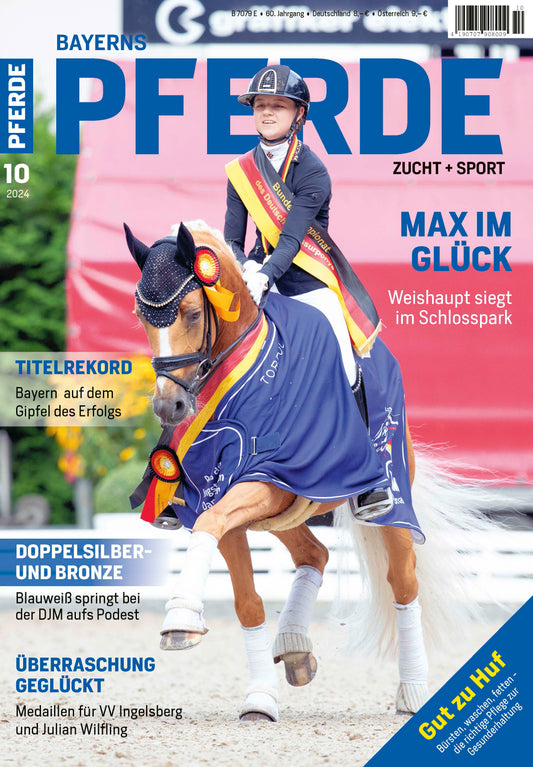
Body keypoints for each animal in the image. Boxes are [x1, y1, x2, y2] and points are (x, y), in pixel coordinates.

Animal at [126, 219, 489, 723]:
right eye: (142, 318)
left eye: (194, 314)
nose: (169, 407)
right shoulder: (217, 495)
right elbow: (246, 600)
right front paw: (259, 698)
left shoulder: (268, 478)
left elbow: (216, 532)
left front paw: (180, 616)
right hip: (287, 512)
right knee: (313, 554)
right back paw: (295, 646)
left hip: (387, 501)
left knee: (403, 583)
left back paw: (413, 692)